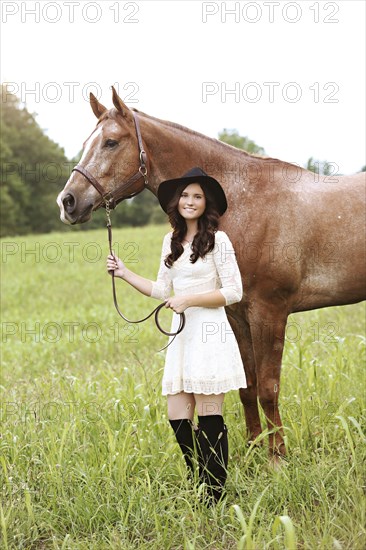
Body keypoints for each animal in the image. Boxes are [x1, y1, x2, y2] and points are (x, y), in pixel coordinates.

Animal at [57, 88, 366, 460]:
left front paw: (277, 457)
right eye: (87, 141)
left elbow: (268, 388)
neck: (244, 202)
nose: (67, 202)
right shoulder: (236, 313)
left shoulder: (270, 313)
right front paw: (253, 450)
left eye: (111, 142)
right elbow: (247, 386)